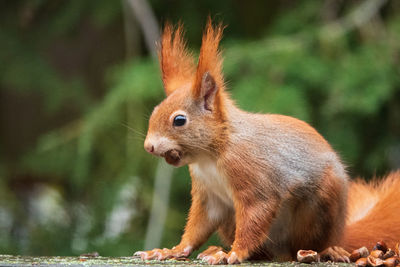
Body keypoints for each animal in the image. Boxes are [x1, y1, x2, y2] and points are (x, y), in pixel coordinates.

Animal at [134, 19, 400, 264]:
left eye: (179, 120)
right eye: (155, 110)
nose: (149, 146)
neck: (212, 155)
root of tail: (340, 234)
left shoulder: (253, 176)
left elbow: (256, 213)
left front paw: (234, 253)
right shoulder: (208, 195)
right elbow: (199, 225)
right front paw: (172, 250)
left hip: (319, 206)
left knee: (307, 244)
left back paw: (325, 251)